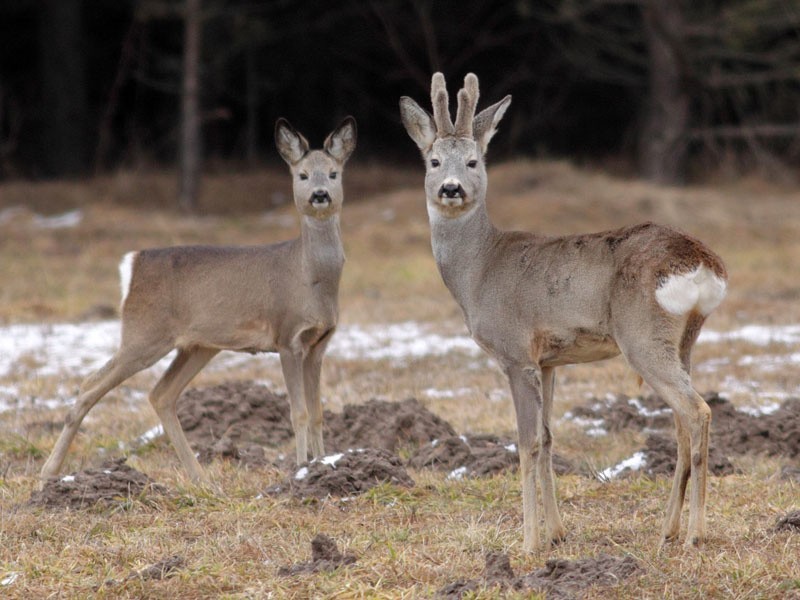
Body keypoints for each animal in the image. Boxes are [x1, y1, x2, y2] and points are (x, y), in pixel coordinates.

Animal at [400, 72, 724, 552]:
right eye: (434, 161)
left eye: (474, 162)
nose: (451, 188)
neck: (478, 271)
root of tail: (704, 262)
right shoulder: (549, 361)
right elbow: (550, 439)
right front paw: (556, 532)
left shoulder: (515, 353)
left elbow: (527, 443)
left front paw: (529, 542)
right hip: (684, 338)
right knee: (683, 420)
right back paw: (668, 529)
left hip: (642, 336)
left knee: (697, 410)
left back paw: (695, 534)